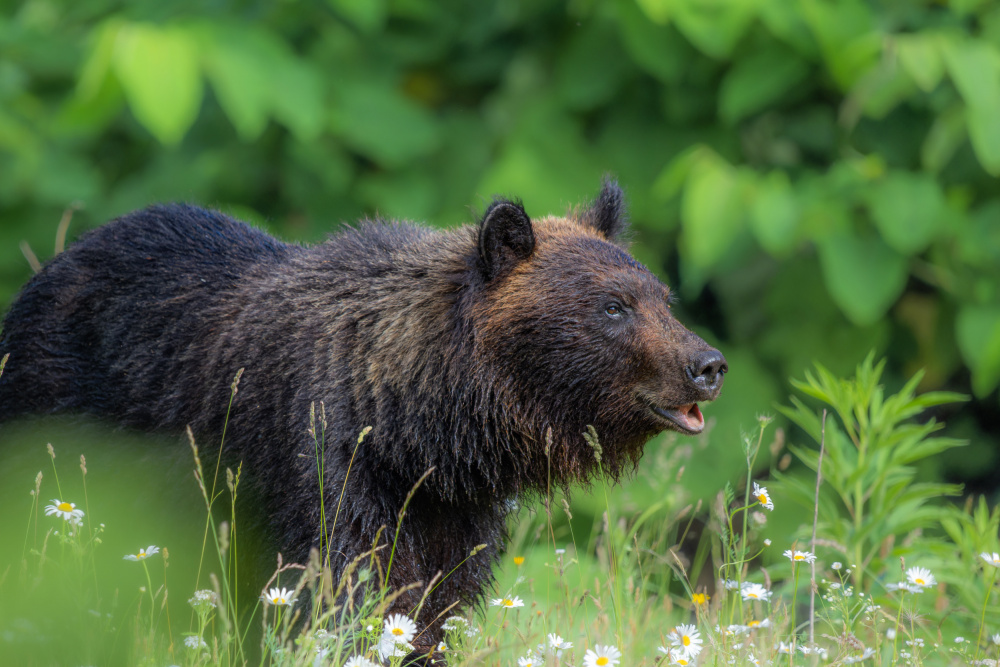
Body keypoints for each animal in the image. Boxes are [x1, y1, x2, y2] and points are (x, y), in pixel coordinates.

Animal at [0, 180, 728, 656]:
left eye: (662, 297)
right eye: (613, 307)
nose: (708, 363)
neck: (420, 425)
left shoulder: (450, 509)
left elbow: (437, 603)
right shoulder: (323, 459)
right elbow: (341, 589)